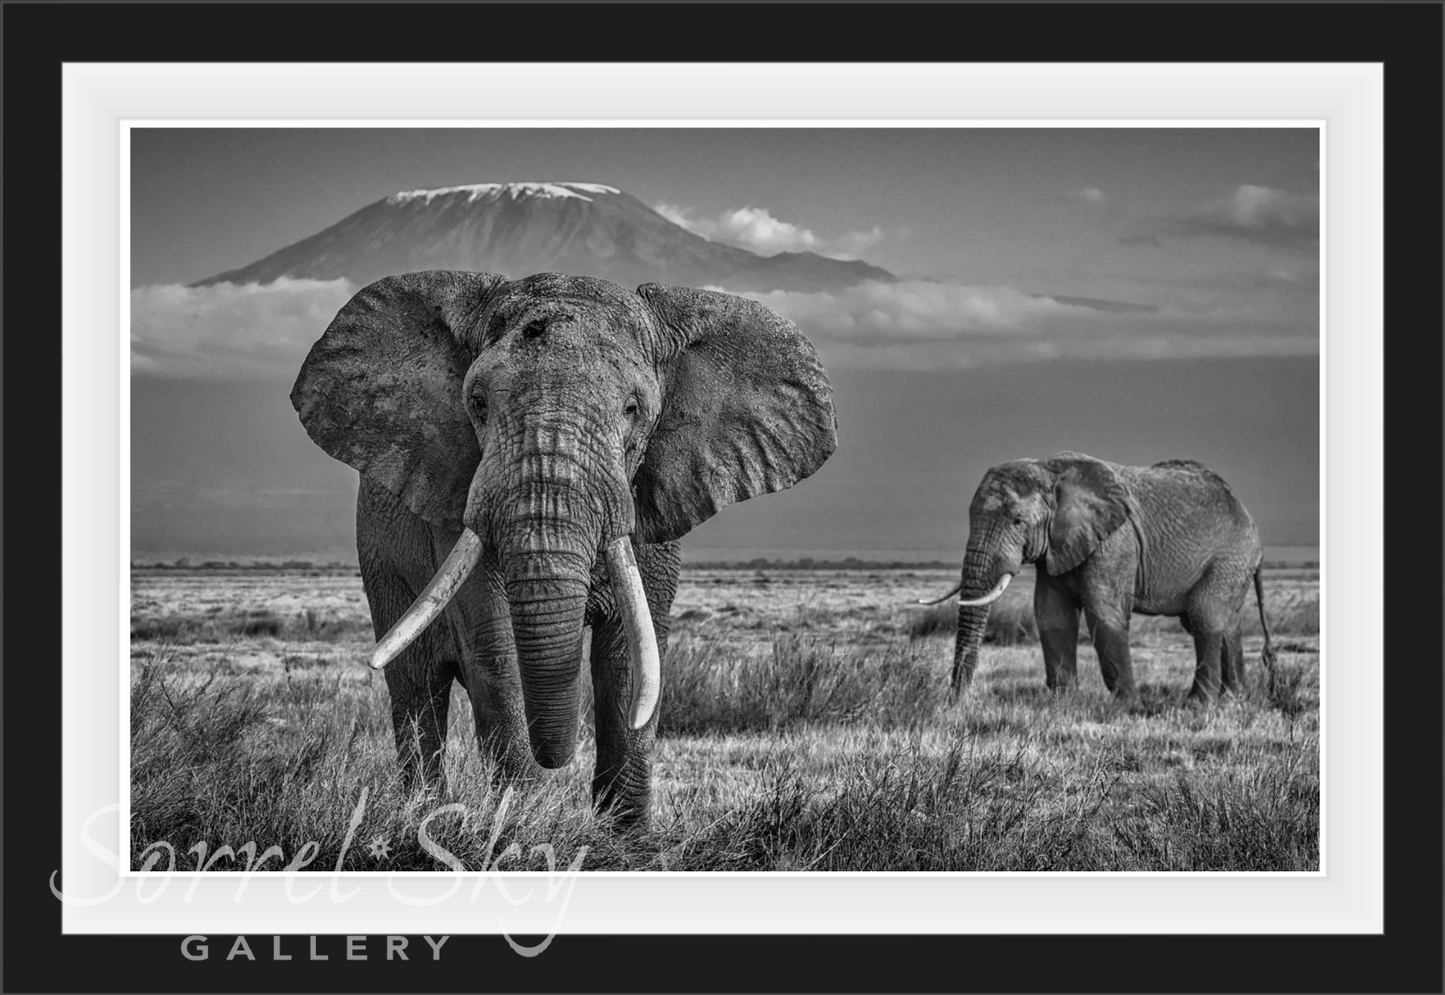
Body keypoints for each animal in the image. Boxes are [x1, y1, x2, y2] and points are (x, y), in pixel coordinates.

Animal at [290, 267, 838, 820]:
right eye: (478, 405)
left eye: (633, 409)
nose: (557, 759)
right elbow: (499, 652)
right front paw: (521, 823)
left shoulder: (652, 508)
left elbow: (631, 659)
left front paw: (624, 838)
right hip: (381, 558)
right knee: (416, 686)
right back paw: (424, 812)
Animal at [924, 450, 1277, 698]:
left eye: (1017, 521)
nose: (954, 701)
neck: (1050, 469)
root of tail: (1249, 517)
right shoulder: (1057, 545)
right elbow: (1052, 614)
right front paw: (1063, 703)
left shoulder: (1115, 541)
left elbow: (1102, 611)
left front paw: (1127, 705)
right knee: (1223, 622)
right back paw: (1234, 698)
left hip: (1228, 558)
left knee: (1205, 616)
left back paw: (1199, 703)